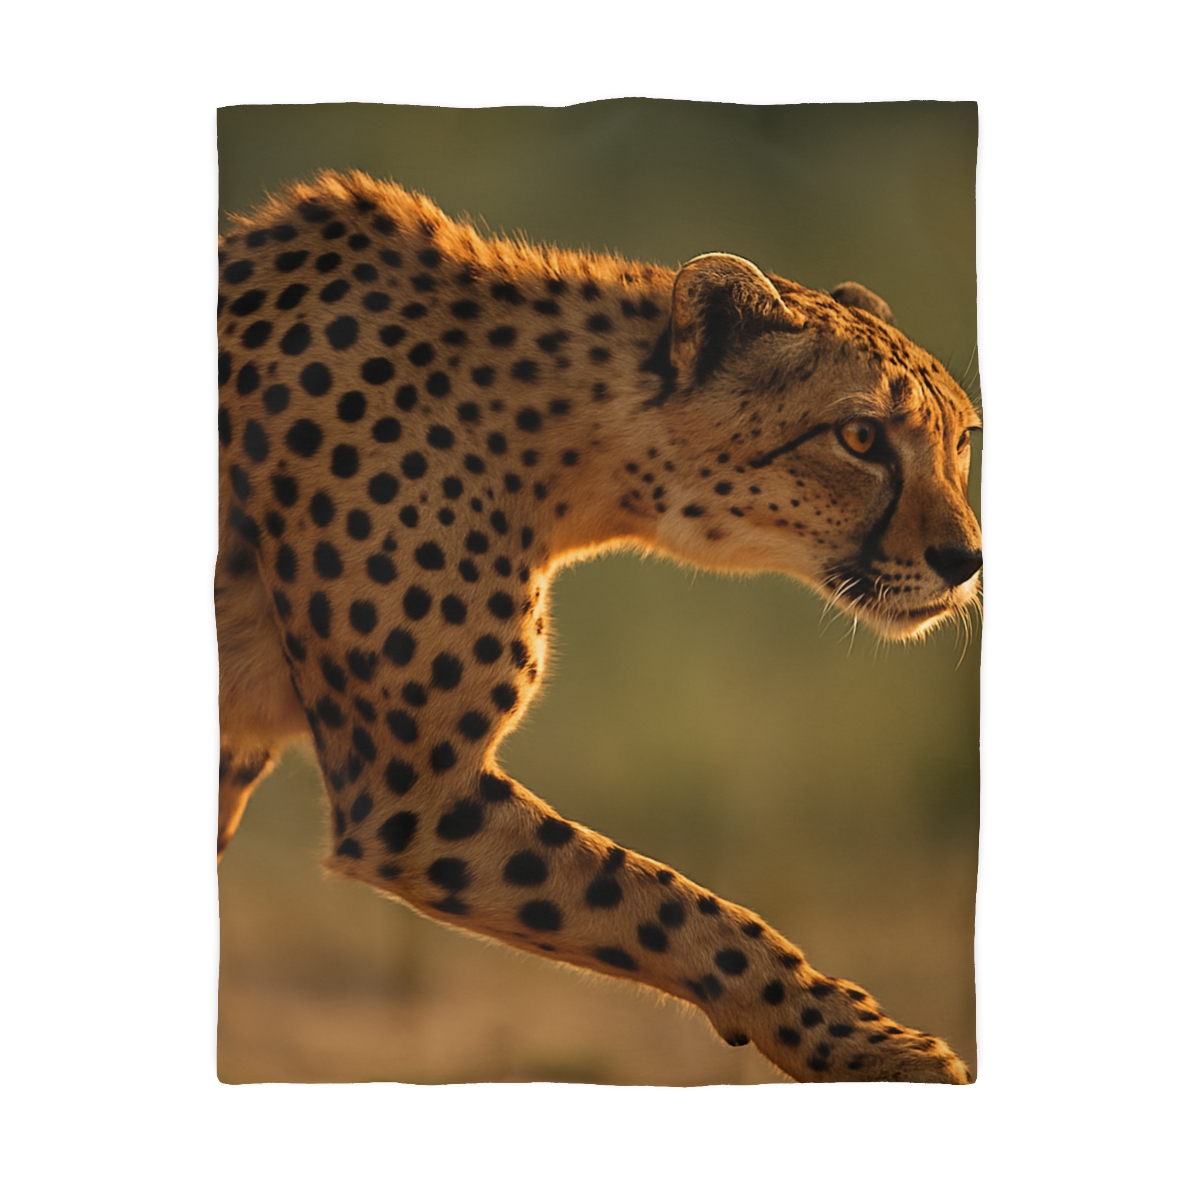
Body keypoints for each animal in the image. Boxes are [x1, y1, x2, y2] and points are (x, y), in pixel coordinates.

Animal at [217, 170, 982, 1084]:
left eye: (963, 440)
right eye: (860, 436)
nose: (966, 559)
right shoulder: (412, 796)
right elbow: (670, 902)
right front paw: (869, 1046)